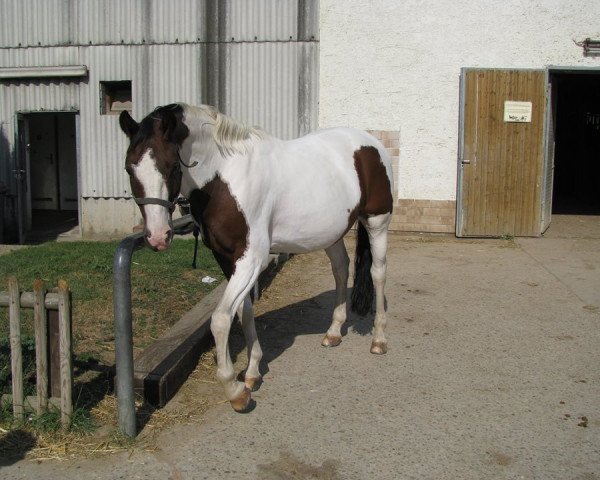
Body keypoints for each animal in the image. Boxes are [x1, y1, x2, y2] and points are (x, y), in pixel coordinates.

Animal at [120, 103, 396, 410]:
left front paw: (234, 389)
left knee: (378, 274)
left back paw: (379, 340)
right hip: (330, 233)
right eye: (129, 168)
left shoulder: (252, 259)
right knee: (341, 269)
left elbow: (220, 319)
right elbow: (244, 311)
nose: (158, 237)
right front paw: (252, 372)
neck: (227, 176)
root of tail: (370, 142)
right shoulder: (227, 259)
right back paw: (334, 331)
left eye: (171, 166)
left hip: (377, 223)